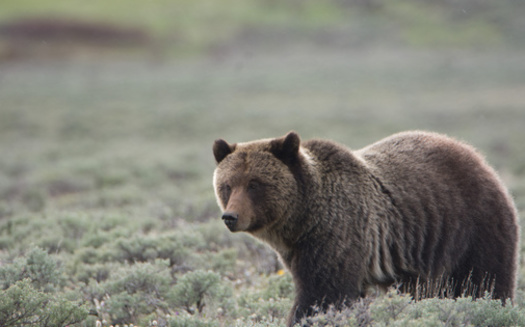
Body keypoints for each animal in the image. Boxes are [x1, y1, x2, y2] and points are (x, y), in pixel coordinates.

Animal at [211, 131, 516, 327]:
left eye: (254, 184)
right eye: (227, 185)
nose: (230, 216)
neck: (302, 219)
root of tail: (479, 158)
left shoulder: (338, 234)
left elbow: (322, 296)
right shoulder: (298, 250)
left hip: (474, 224)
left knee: (484, 280)